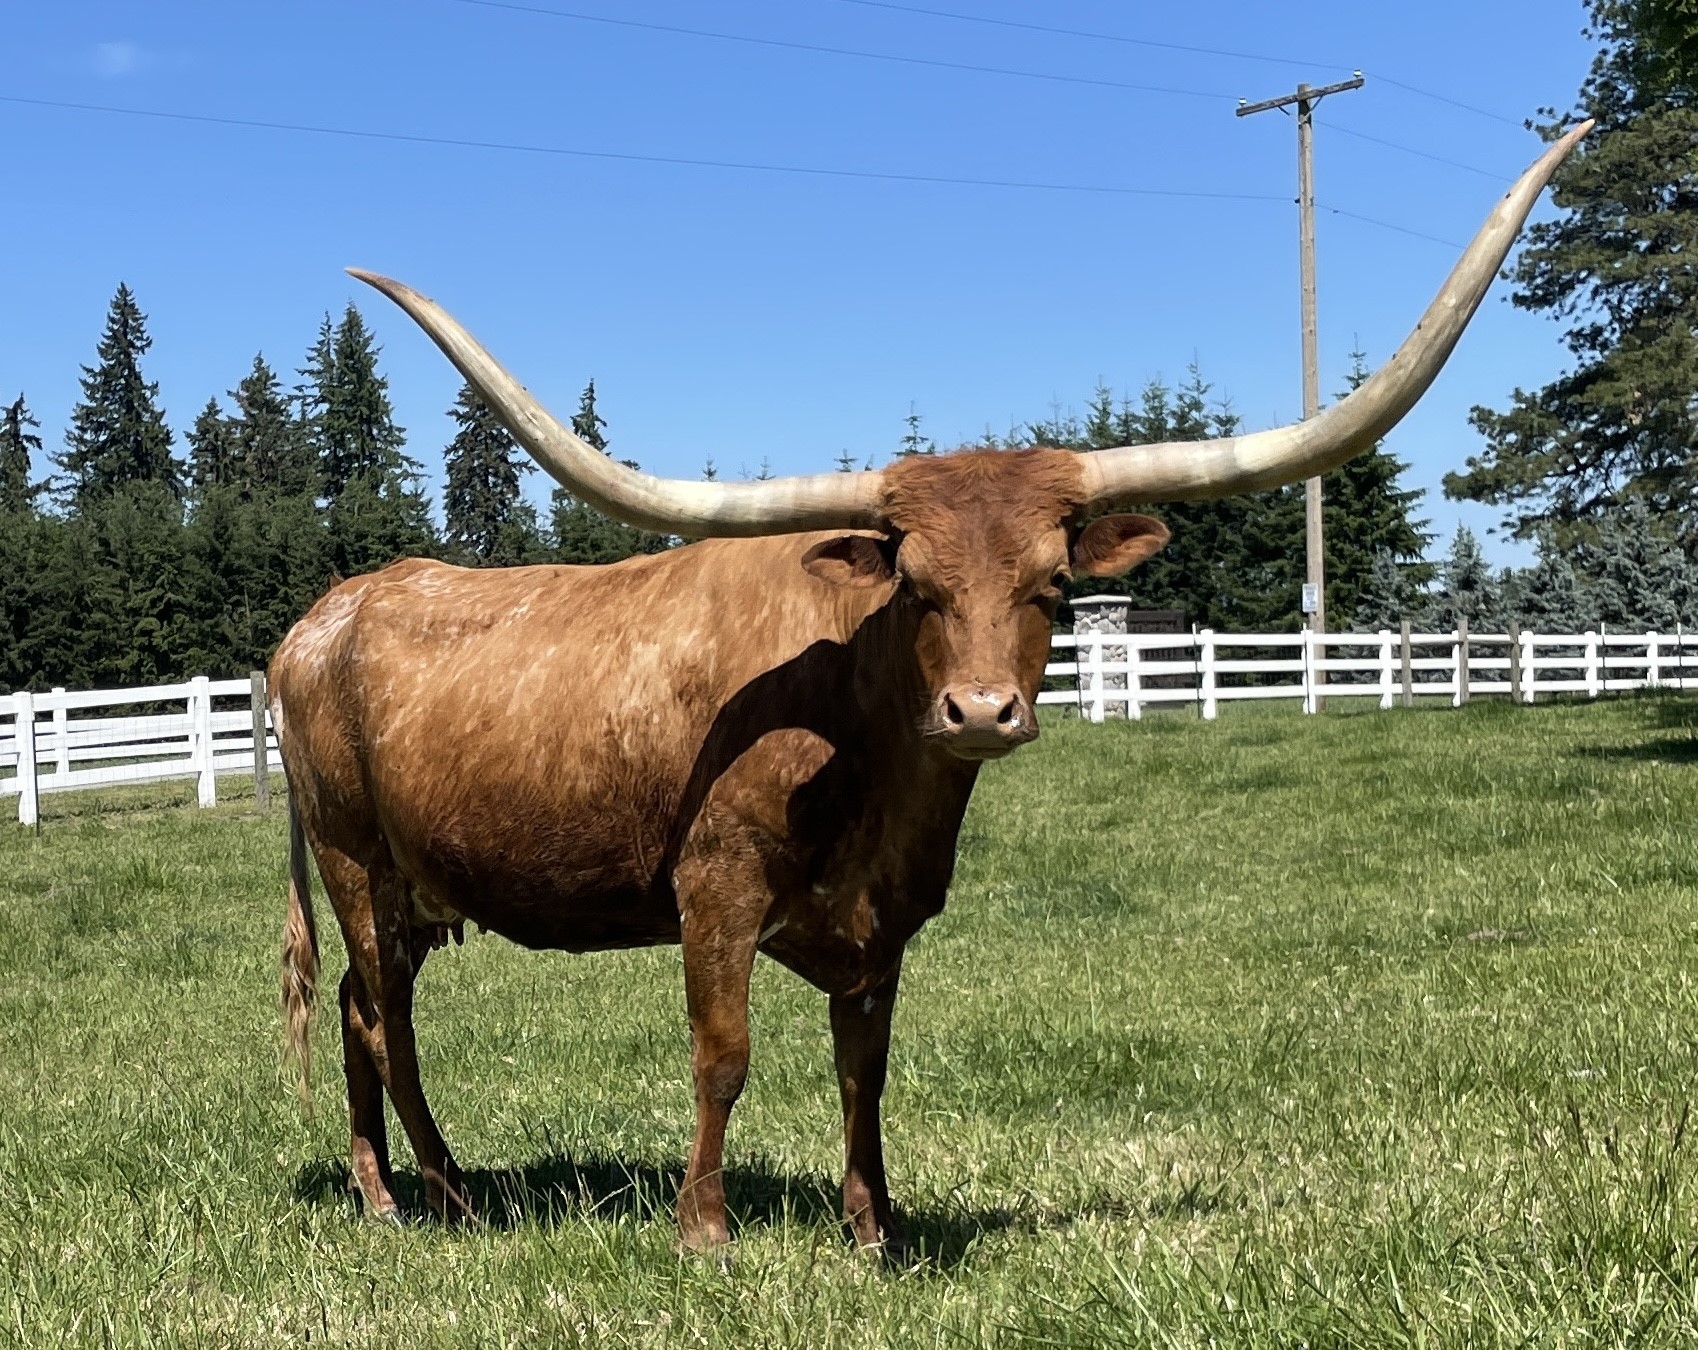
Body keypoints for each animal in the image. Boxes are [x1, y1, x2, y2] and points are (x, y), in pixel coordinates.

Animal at [273, 126, 1588, 1254]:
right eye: (913, 584)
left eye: (1054, 584)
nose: (982, 713)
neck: (869, 762)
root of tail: (321, 619)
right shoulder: (714, 890)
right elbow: (723, 1054)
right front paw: (704, 1230)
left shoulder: (885, 923)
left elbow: (865, 1070)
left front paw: (876, 1226)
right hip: (355, 858)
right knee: (384, 1017)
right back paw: (439, 1192)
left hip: (412, 882)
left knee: (352, 1007)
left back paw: (383, 1189)